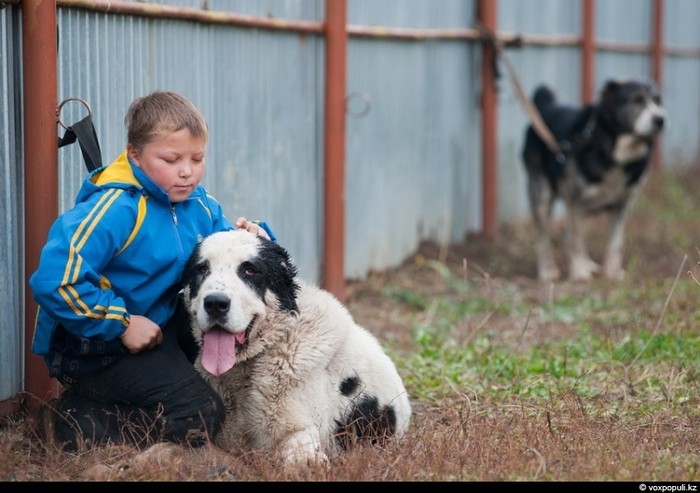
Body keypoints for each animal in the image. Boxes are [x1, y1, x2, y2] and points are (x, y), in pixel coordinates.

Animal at [520, 79, 668, 282]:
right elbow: (576, 240)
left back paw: (588, 263)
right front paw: (579, 272)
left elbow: (614, 242)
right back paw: (548, 271)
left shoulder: (622, 205)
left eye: (657, 101)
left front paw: (612, 272)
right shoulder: (575, 201)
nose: (660, 119)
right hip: (542, 196)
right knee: (544, 239)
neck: (616, 154)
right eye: (636, 100)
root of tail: (545, 105)